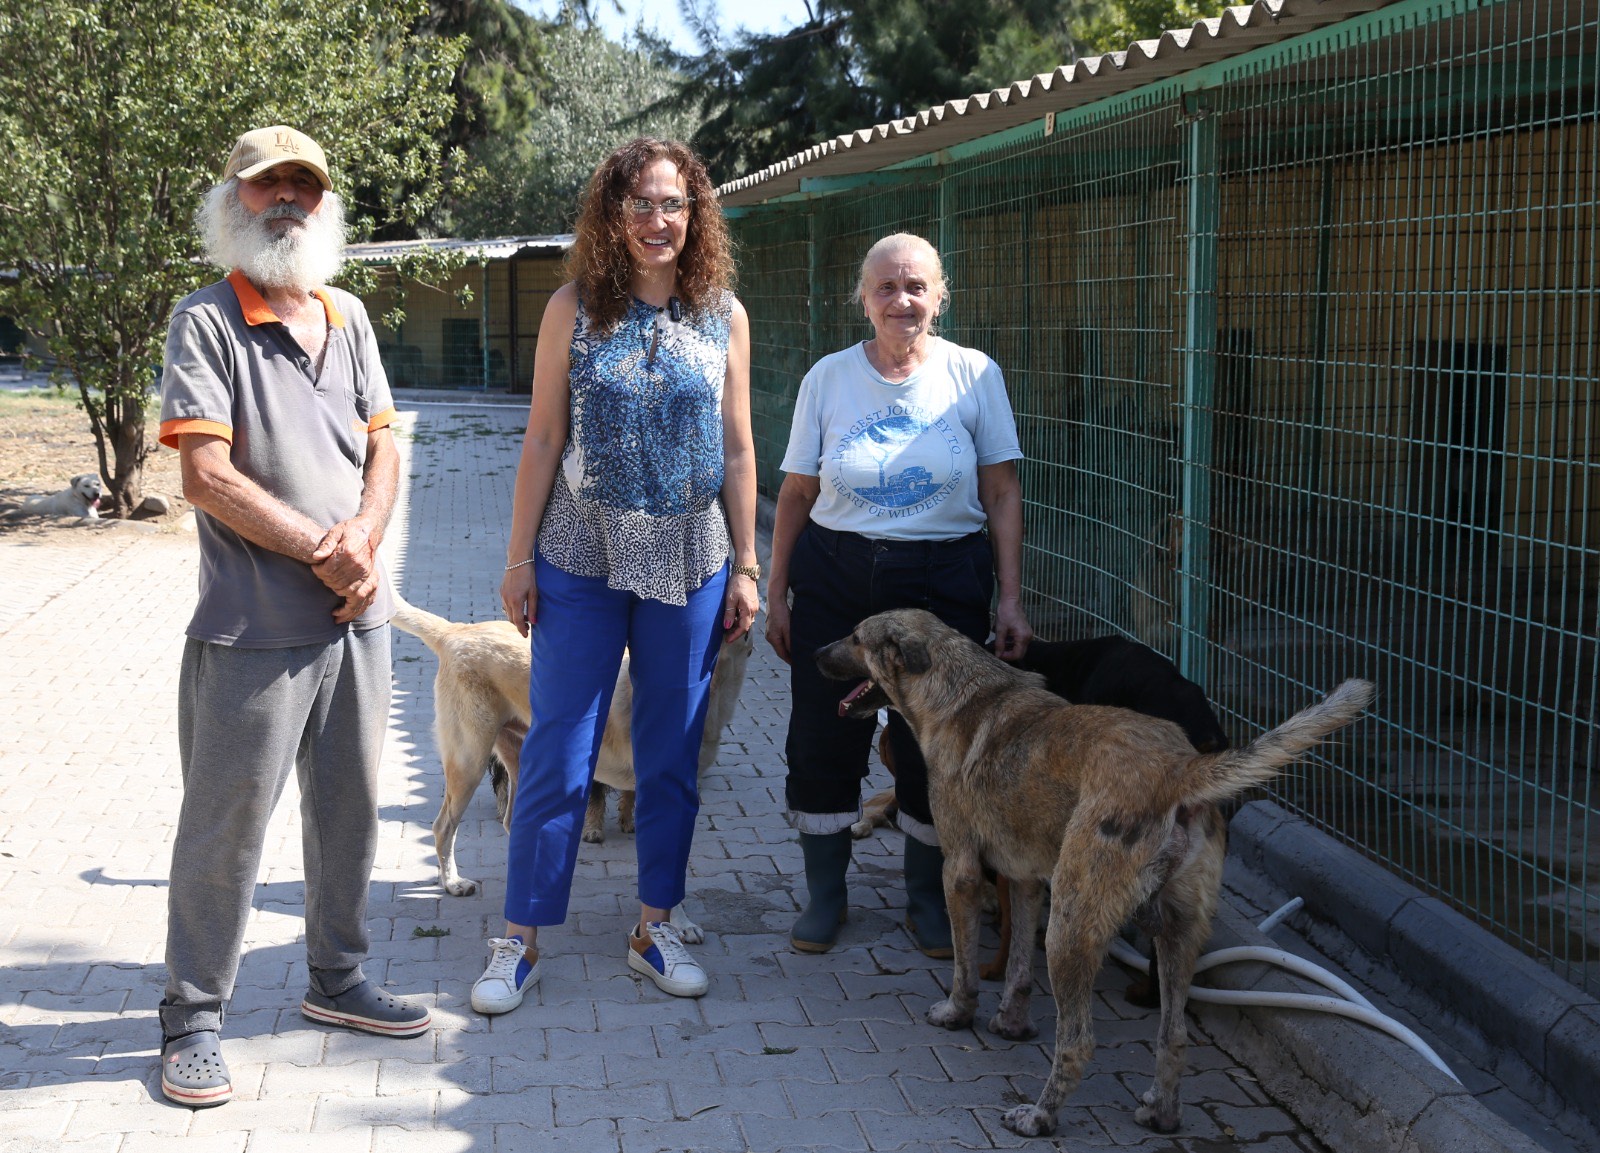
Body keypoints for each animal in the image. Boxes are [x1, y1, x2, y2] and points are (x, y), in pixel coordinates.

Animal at [393, 598, 755, 921]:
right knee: (444, 827)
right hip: (469, 760)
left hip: (519, 758)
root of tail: (456, 631)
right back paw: (453, 883)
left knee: (511, 822)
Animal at [819, 607, 1369, 1138]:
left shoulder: (961, 870)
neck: (957, 690)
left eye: (856, 636)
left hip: (1070, 925)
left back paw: (1039, 1117)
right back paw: (1162, 1113)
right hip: (1175, 932)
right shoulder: (1025, 879)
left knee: (1078, 1041)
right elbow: (1018, 968)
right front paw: (1011, 1023)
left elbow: (964, 966)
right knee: (1174, 1034)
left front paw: (958, 1013)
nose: (814, 652)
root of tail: (1176, 769)